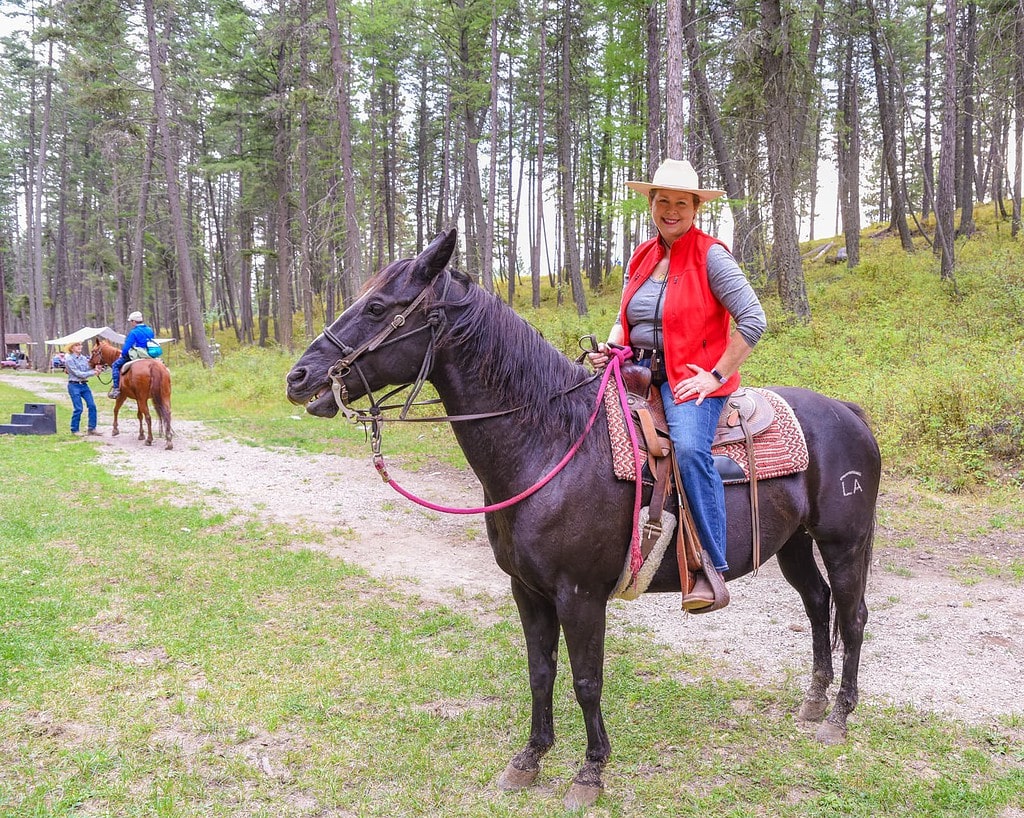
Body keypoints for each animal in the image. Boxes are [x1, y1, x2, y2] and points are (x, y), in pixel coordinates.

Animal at [286, 228, 880, 806]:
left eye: (378, 306)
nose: (299, 376)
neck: (551, 442)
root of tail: (849, 412)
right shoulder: (528, 590)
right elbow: (540, 672)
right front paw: (529, 758)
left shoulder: (580, 594)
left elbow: (586, 680)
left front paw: (590, 772)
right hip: (793, 544)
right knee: (817, 604)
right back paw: (813, 701)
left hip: (844, 542)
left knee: (851, 616)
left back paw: (837, 718)